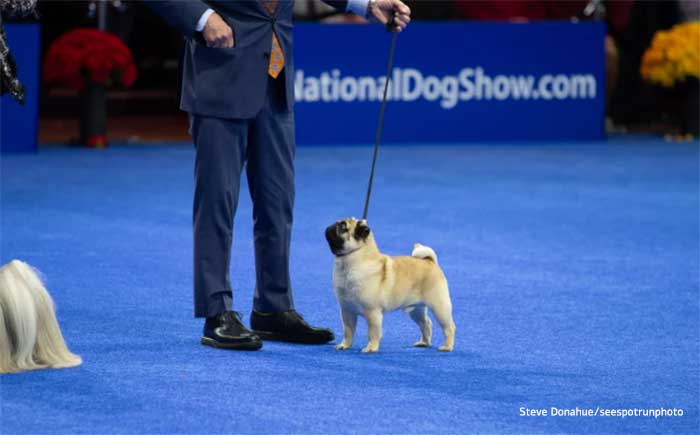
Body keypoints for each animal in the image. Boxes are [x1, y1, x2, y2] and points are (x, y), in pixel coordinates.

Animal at [326, 218, 456, 354]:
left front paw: (371, 348)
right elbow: (348, 331)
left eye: (343, 227)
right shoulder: (347, 311)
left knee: (449, 327)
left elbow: (372, 333)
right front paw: (345, 345)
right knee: (426, 323)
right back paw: (424, 343)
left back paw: (447, 347)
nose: (331, 226)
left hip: (439, 307)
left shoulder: (373, 313)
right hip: (416, 310)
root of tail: (430, 261)